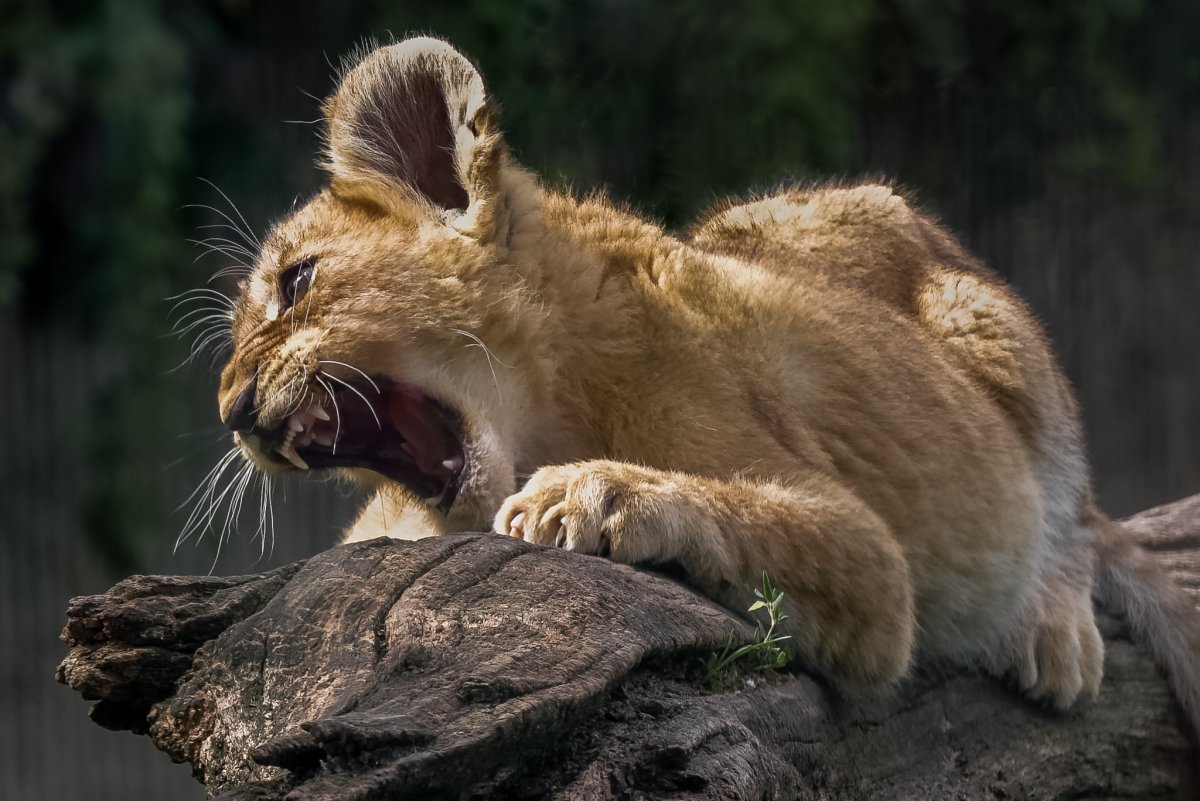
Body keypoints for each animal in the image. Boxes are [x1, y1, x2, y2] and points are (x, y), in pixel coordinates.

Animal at [213, 37, 1199, 723]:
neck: (546, 400)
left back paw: (1054, 627)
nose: (231, 410)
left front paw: (593, 495)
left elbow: (750, 510)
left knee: (1076, 512)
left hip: (988, 324)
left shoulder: (874, 568)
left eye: (295, 283)